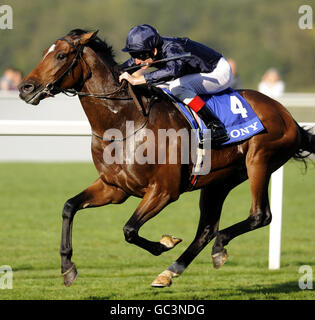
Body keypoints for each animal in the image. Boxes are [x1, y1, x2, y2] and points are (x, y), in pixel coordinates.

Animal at [18, 29, 314, 288]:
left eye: (61, 55)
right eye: (45, 53)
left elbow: (129, 229)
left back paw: (219, 246)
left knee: (260, 215)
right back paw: (171, 272)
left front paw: (165, 243)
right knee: (207, 229)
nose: (25, 88)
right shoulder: (115, 188)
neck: (124, 121)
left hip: (259, 162)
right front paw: (67, 267)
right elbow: (69, 207)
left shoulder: (164, 190)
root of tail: (288, 116)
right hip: (219, 181)